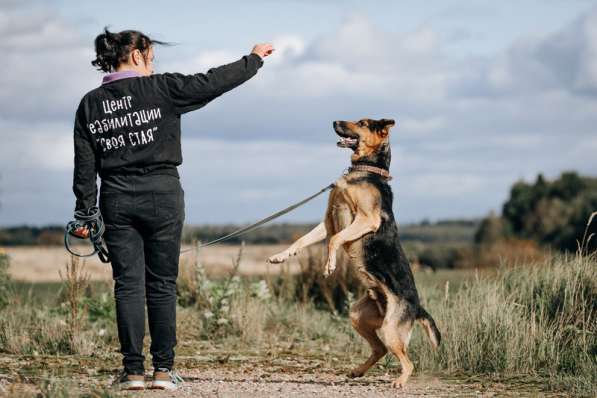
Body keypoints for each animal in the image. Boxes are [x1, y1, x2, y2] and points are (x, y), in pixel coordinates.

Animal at [268, 118, 440, 388]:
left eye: (362, 122)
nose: (334, 121)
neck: (366, 170)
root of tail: (417, 307)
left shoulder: (365, 219)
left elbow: (335, 240)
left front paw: (329, 266)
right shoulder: (328, 222)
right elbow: (303, 240)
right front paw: (281, 256)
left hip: (391, 328)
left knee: (406, 360)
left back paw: (399, 381)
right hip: (358, 316)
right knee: (379, 349)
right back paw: (357, 371)